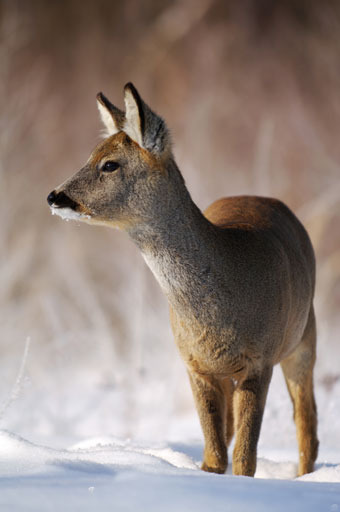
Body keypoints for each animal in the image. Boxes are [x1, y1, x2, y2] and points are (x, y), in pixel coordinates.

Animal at [47, 83, 318, 476]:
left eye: (110, 164)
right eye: (90, 154)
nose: (55, 196)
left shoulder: (260, 360)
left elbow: (244, 458)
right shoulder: (195, 365)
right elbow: (215, 456)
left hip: (304, 336)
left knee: (306, 420)